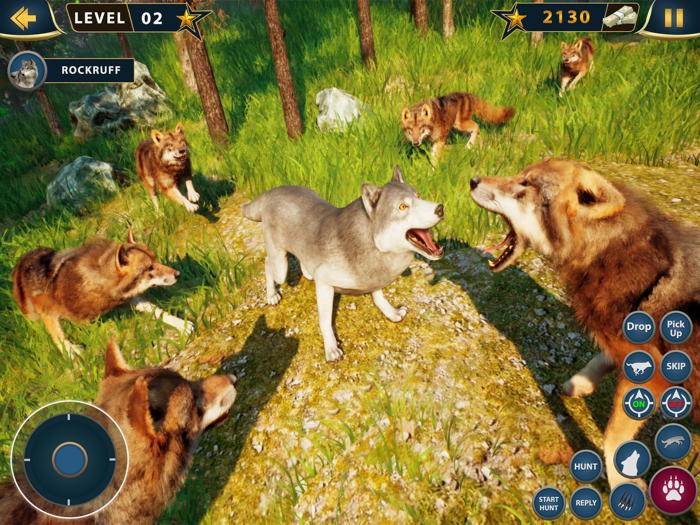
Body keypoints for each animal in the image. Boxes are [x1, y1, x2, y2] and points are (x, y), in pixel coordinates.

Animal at [11, 228, 193, 357]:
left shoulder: (126, 299)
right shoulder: (48, 311)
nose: (178, 274)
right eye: (149, 268)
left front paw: (180, 323)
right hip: (32, 316)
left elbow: (157, 311)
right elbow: (59, 338)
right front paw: (72, 352)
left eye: (155, 259)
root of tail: (22, 257)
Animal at [242, 164, 444, 362]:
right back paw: (271, 295)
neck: (369, 242)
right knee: (267, 264)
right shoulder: (324, 284)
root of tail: (274, 190)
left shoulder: (374, 278)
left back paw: (306, 272)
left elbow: (379, 298)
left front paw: (391, 313)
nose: (440, 208)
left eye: (418, 195)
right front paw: (331, 349)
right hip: (280, 267)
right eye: (402, 206)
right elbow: (324, 321)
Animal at [470, 159, 700, 489]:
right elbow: (602, 357)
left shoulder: (655, 375)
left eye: (526, 185)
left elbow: (613, 437)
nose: (472, 180)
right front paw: (580, 383)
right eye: (519, 175)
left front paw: (622, 481)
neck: (607, 252)